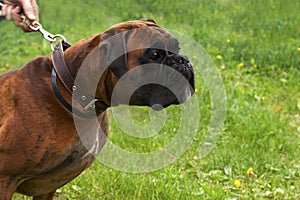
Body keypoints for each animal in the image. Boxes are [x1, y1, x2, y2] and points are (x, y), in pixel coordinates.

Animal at [0, 19, 195, 200]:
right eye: (155, 54)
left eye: (178, 48)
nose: (184, 60)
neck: (69, 88)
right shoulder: (6, 178)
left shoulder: (47, 188)